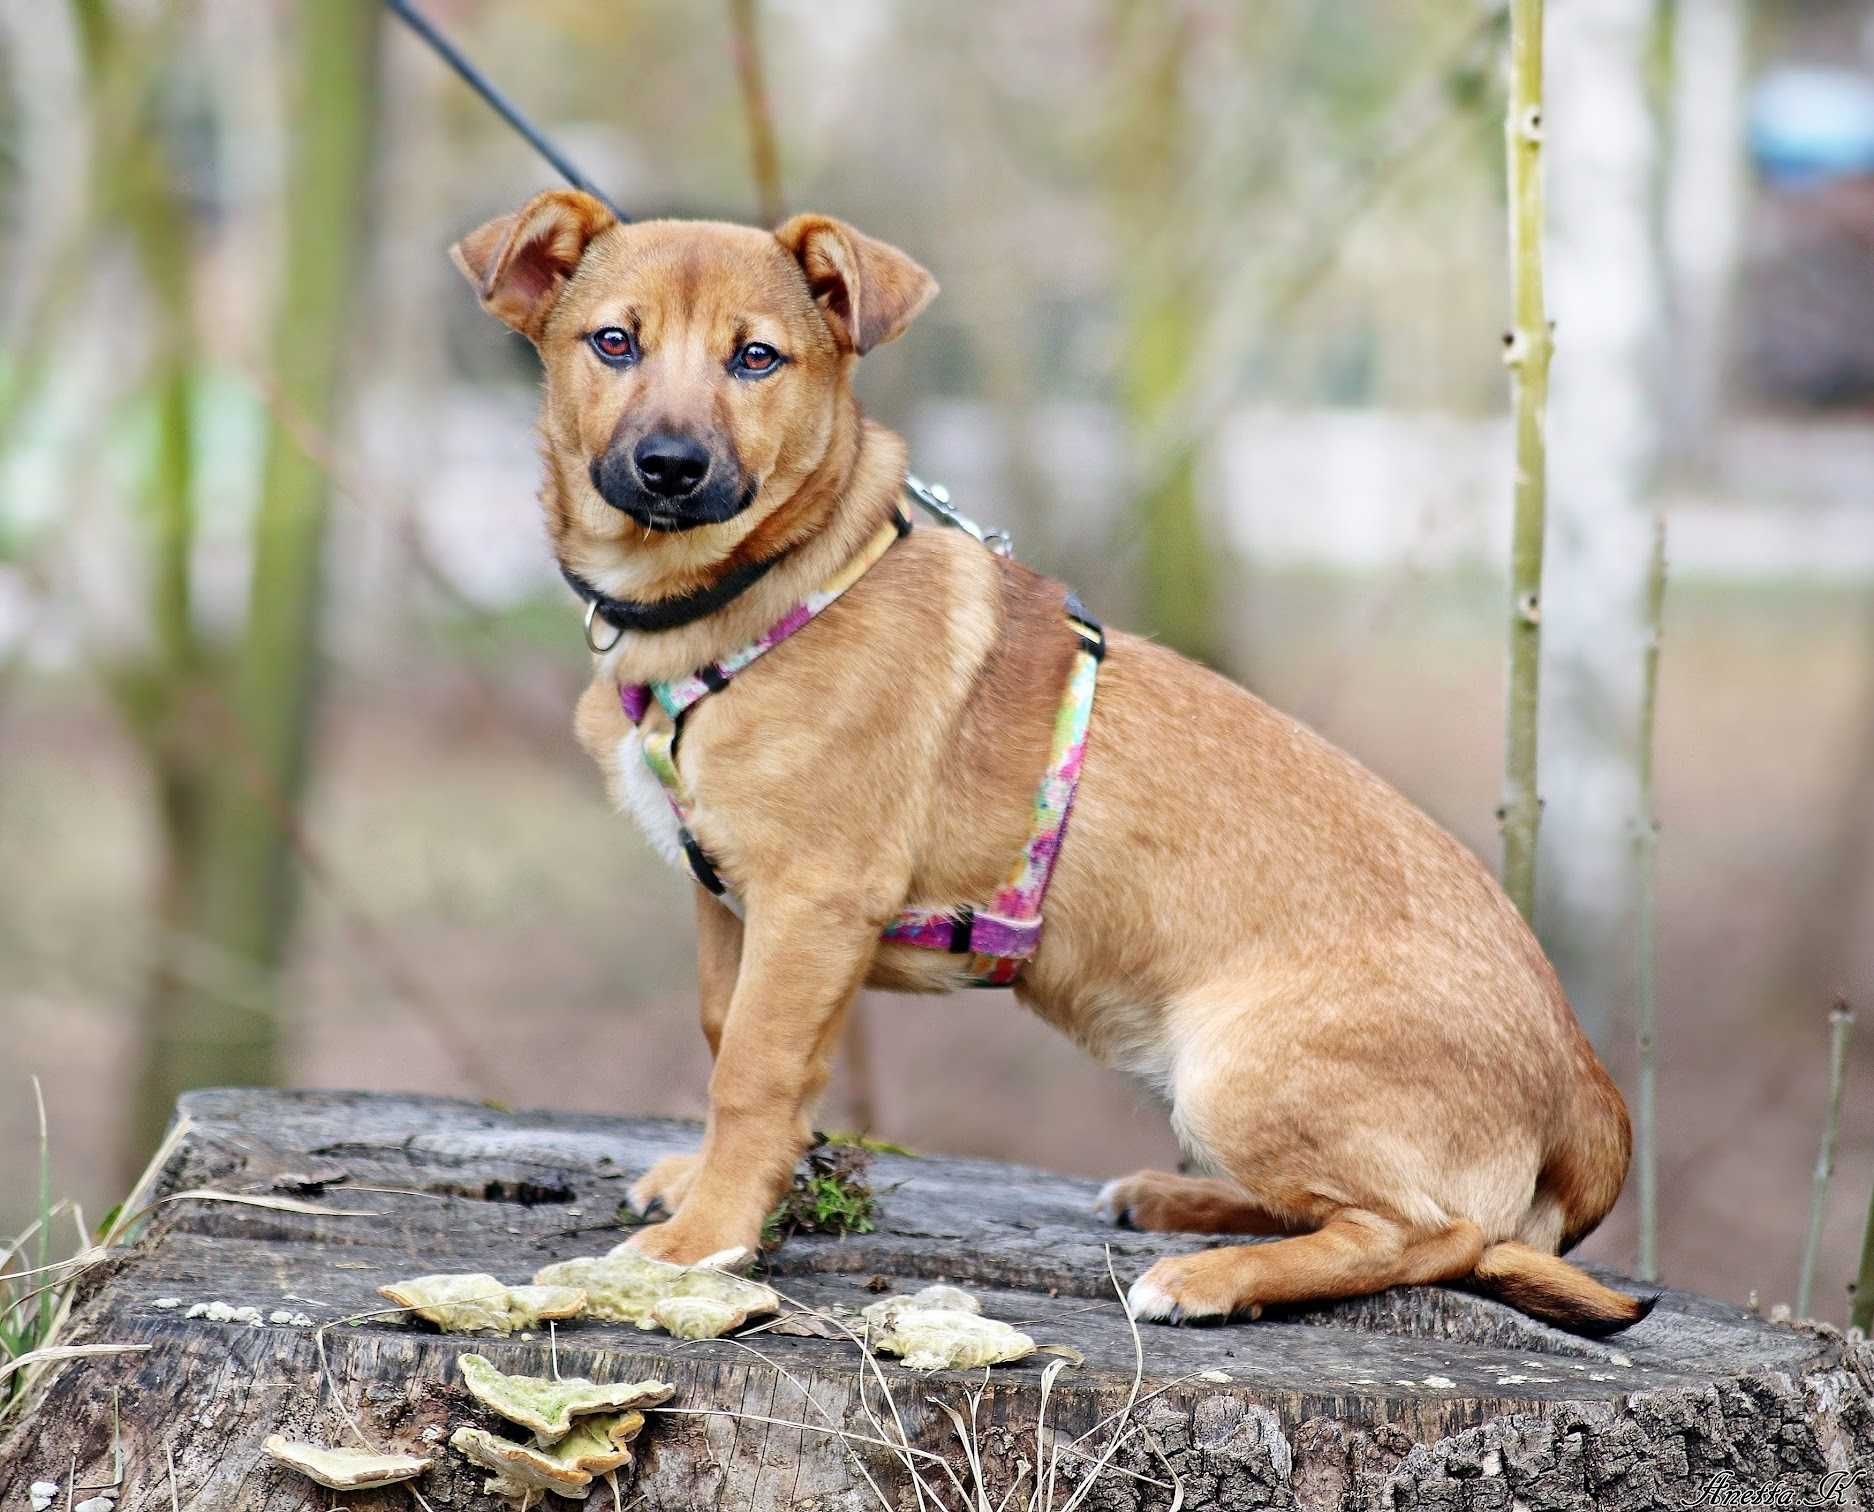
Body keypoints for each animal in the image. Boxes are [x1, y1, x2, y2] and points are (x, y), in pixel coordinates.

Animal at [449, 192, 1641, 1334]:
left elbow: (752, 1069)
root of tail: (1587, 1091)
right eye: (614, 343)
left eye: (756, 358)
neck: (753, 598)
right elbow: (728, 1041)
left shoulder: (810, 904)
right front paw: (714, 1188)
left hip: (1234, 1070)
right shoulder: (733, 908)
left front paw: (704, 1239)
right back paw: (1179, 1201)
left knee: (1427, 1235)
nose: (670, 468)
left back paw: (1210, 1277)